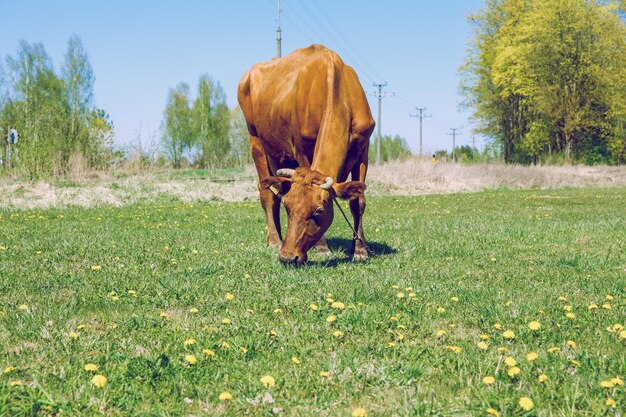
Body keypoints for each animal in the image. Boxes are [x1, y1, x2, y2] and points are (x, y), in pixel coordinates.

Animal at [238, 44, 376, 264]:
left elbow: (358, 201)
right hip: (255, 141)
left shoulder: (363, 150)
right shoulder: (302, 149)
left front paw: (360, 250)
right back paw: (274, 240)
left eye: (319, 210)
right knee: (267, 193)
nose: (287, 257)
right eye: (289, 208)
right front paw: (322, 249)